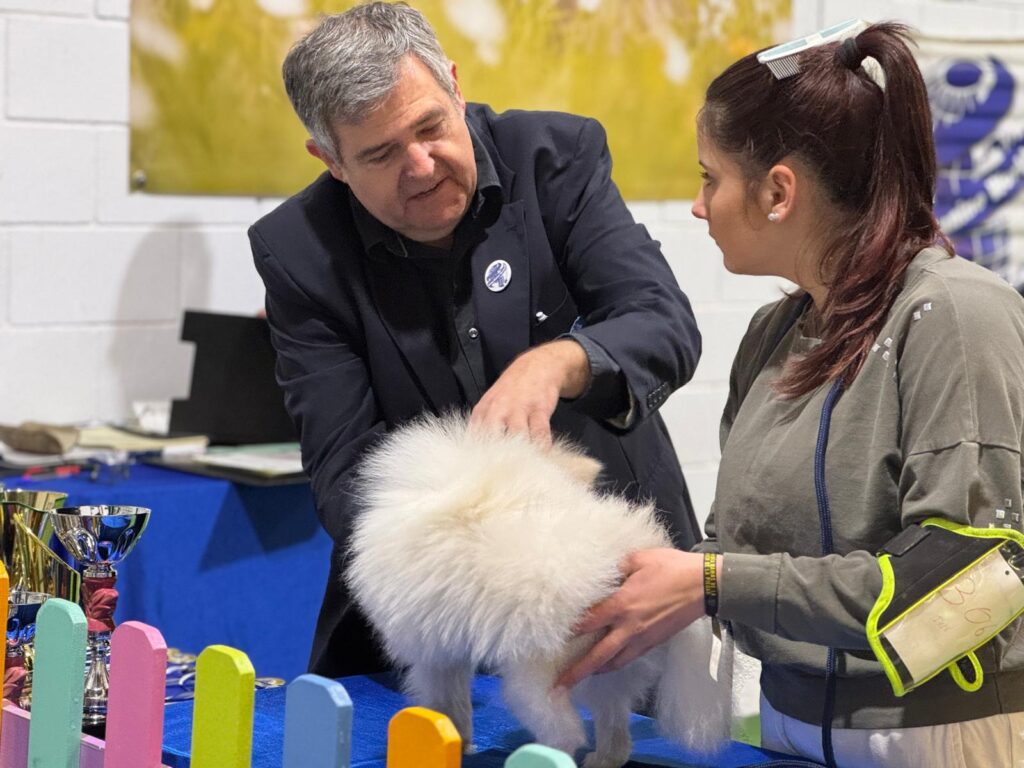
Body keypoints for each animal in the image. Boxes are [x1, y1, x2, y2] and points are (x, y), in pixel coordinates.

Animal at [346, 414, 731, 767]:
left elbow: (444, 706)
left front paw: (450, 740)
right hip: (609, 660)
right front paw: (460, 742)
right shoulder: (449, 653)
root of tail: (623, 559)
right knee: (614, 724)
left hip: (536, 676)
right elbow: (457, 706)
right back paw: (603, 760)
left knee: (564, 732)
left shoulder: (432, 656)